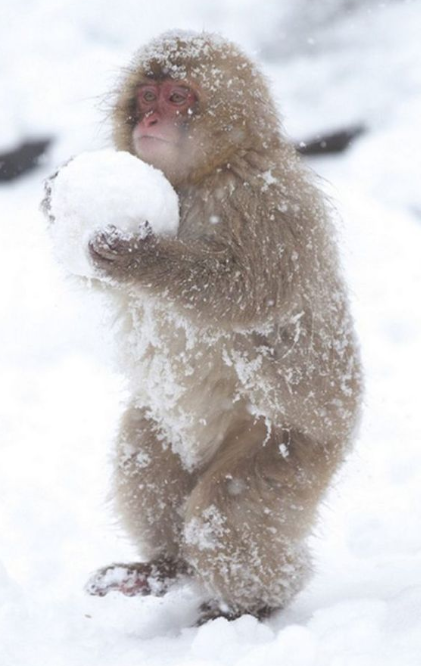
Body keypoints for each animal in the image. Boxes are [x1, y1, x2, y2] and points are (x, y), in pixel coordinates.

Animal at [46, 31, 360, 624]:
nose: (149, 120)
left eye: (177, 97)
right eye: (147, 96)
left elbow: (247, 292)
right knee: (145, 462)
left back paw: (250, 604)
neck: (201, 176)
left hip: (295, 447)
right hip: (164, 423)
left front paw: (142, 259)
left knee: (229, 514)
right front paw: (55, 195)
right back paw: (163, 567)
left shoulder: (267, 203)